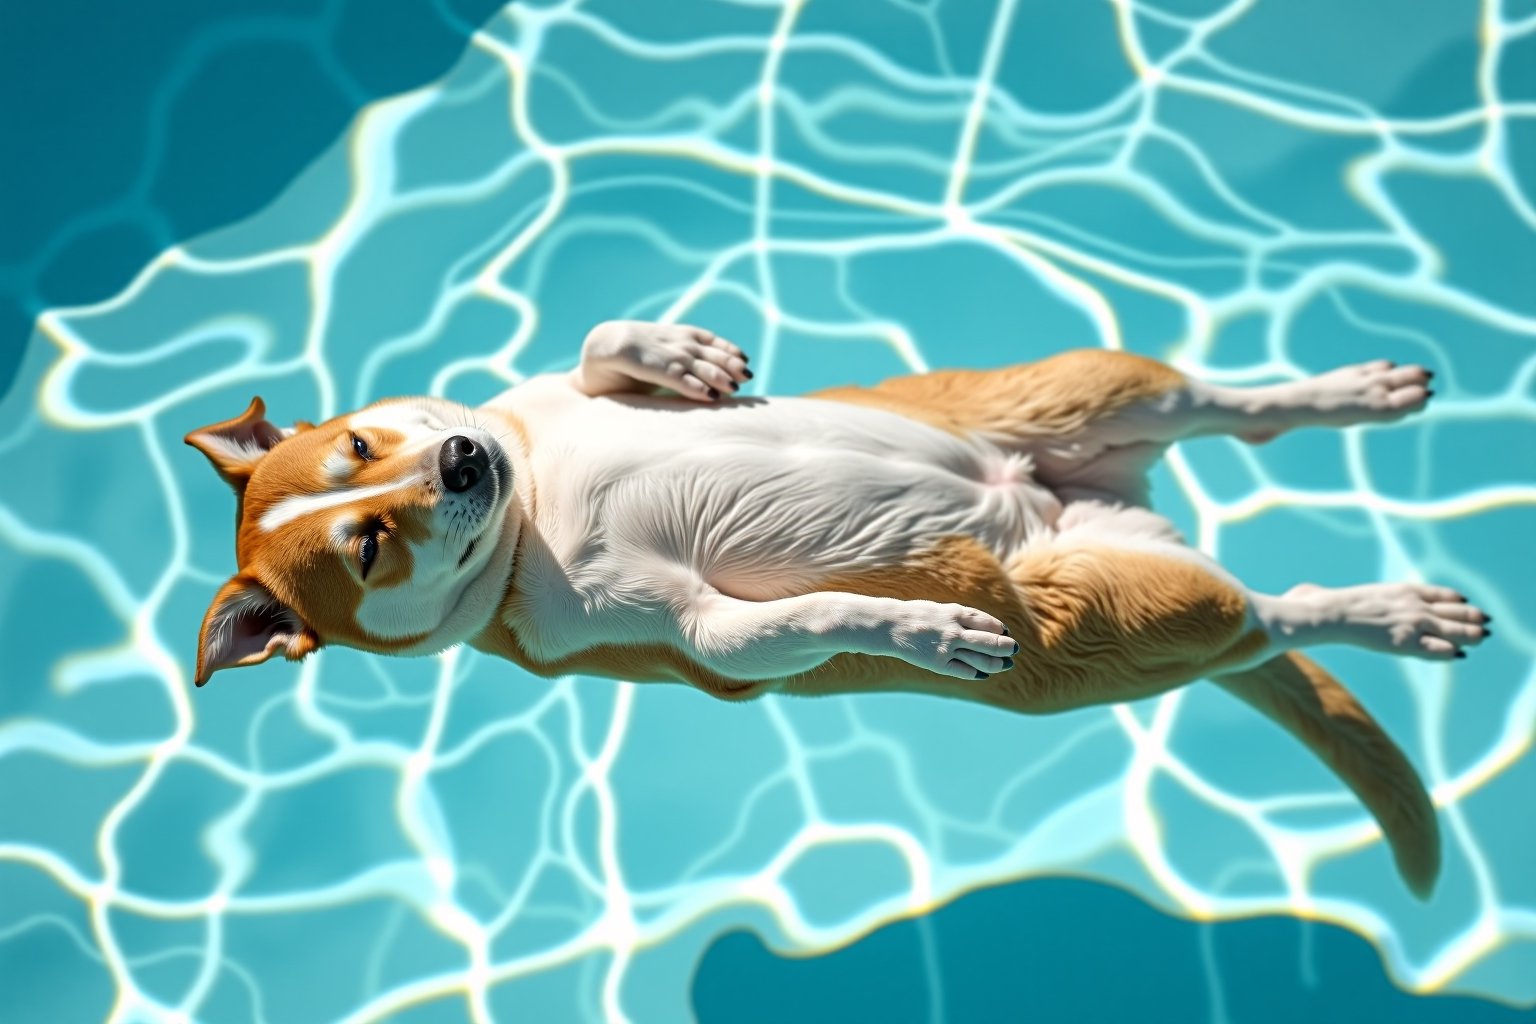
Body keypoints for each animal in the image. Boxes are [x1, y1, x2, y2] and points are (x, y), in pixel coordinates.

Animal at [182, 317, 1486, 896]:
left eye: (360, 443)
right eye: (366, 543)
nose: (461, 461)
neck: (534, 510)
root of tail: (1094, 499)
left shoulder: (540, 402)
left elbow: (595, 347)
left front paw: (677, 355)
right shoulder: (701, 637)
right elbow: (800, 625)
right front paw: (923, 628)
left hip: (1070, 393)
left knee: (1228, 407)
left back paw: (1355, 393)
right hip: (1116, 607)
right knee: (1273, 611)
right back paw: (1395, 613)